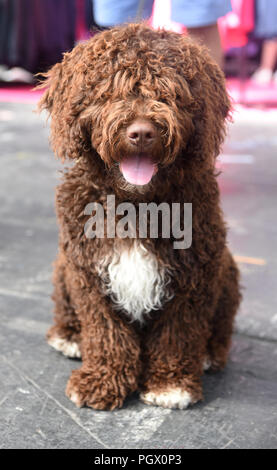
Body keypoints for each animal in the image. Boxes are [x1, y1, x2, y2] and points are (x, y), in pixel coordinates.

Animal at [38, 23, 239, 412]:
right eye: (111, 91)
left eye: (171, 93)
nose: (143, 132)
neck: (135, 203)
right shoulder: (88, 272)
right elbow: (105, 330)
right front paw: (103, 380)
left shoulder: (194, 273)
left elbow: (179, 331)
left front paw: (171, 384)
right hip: (63, 268)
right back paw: (69, 337)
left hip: (228, 272)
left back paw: (210, 353)